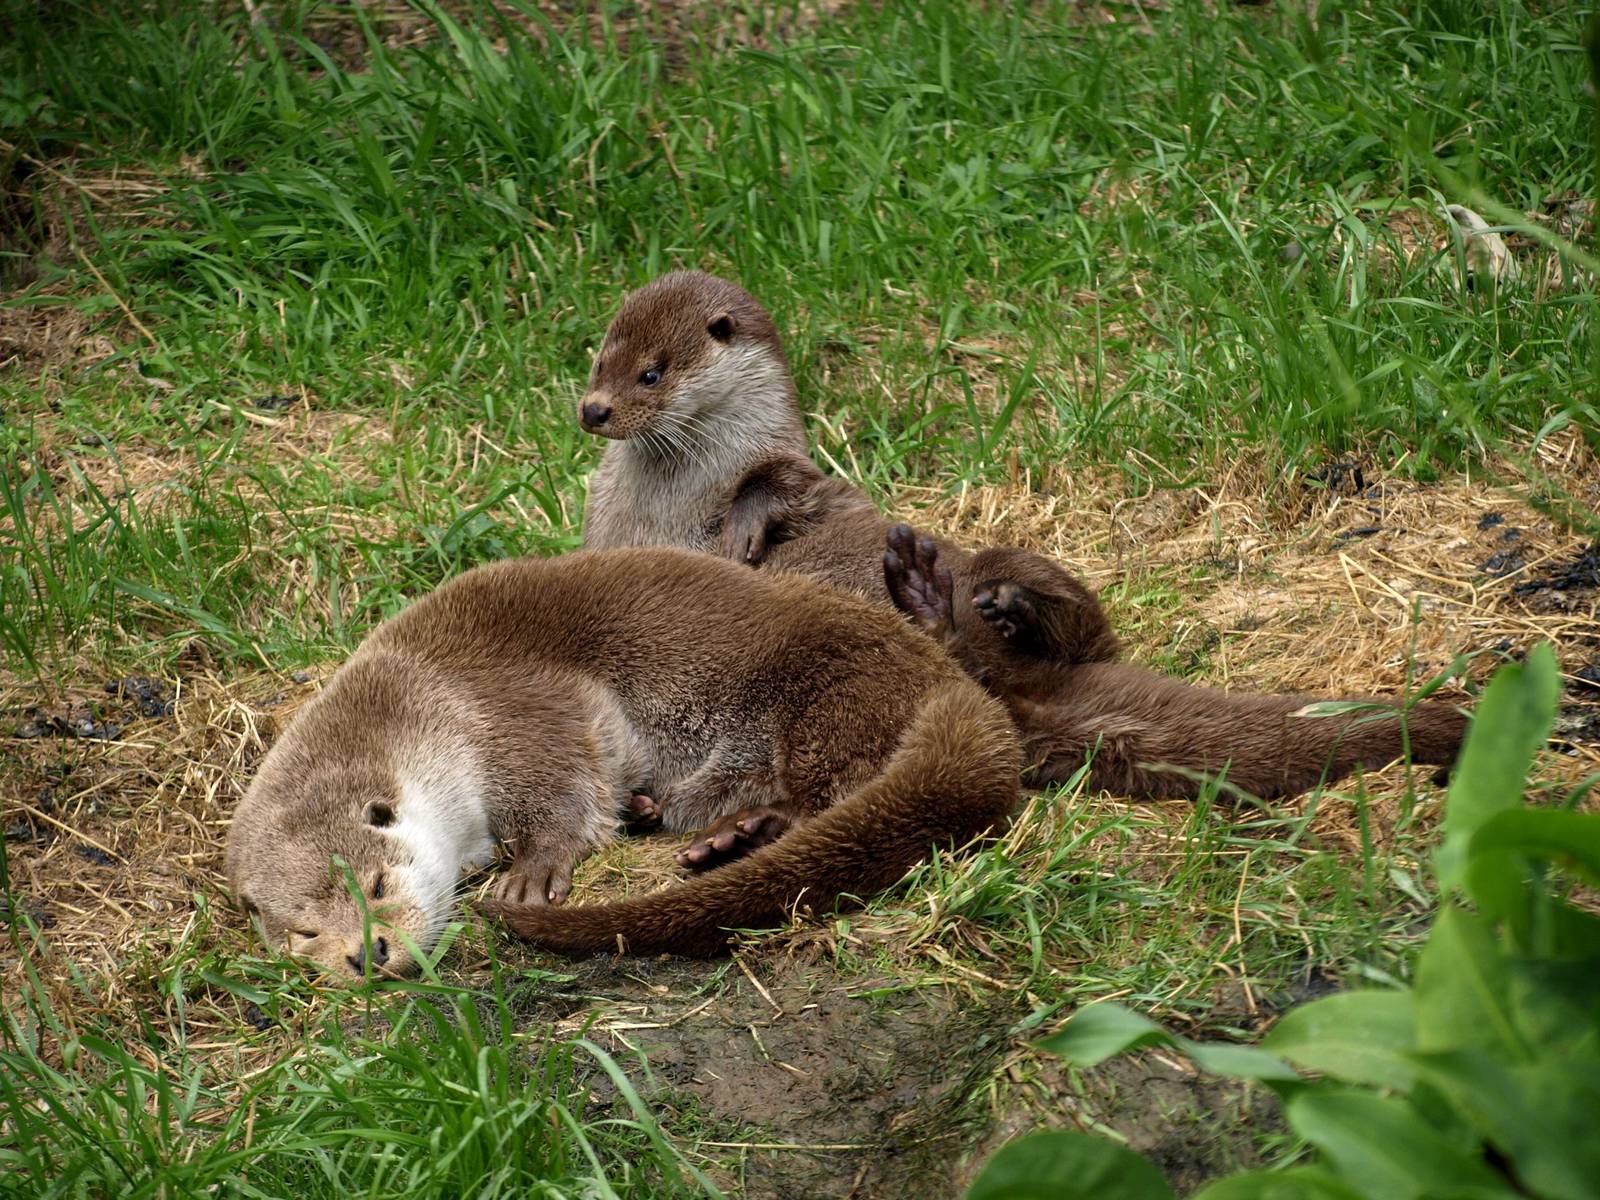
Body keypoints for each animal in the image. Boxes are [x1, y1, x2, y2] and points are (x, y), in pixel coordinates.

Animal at [226, 548, 1019, 974]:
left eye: (378, 883)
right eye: (303, 932)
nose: (366, 954)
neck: (422, 696)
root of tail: (943, 679)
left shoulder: (513, 706)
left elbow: (566, 783)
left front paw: (533, 871)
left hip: (830, 684)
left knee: (832, 785)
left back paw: (746, 833)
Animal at [577, 272, 1469, 799]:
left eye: (650, 371)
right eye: (597, 360)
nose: (592, 410)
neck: (672, 503)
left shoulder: (799, 473)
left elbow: (784, 488)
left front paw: (749, 527)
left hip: (1024, 579)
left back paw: (986, 602)